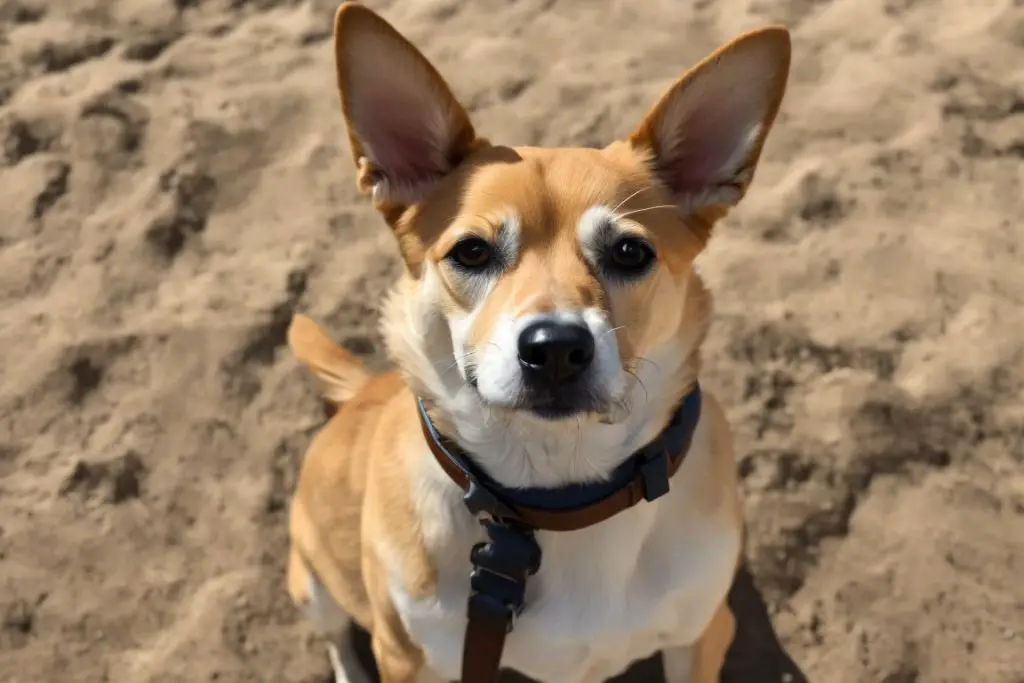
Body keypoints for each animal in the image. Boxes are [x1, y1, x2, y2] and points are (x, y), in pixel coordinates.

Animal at [286, 5, 790, 683]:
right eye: (472, 251)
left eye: (629, 252)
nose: (554, 347)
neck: (560, 494)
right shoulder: (410, 657)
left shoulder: (704, 633)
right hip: (313, 587)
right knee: (338, 636)